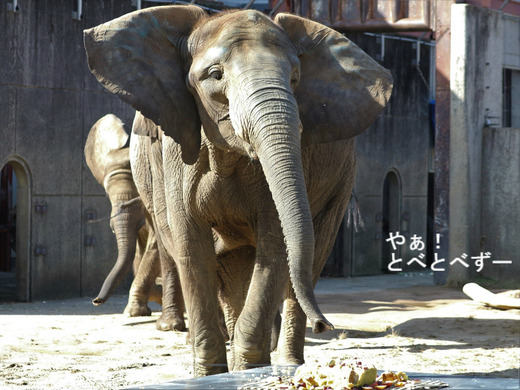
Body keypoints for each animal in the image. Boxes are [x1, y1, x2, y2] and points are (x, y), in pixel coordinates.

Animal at [86, 114, 188, 330]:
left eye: (137, 192)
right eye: (107, 194)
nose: (96, 301)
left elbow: (153, 247)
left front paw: (135, 311)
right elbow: (137, 254)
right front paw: (138, 310)